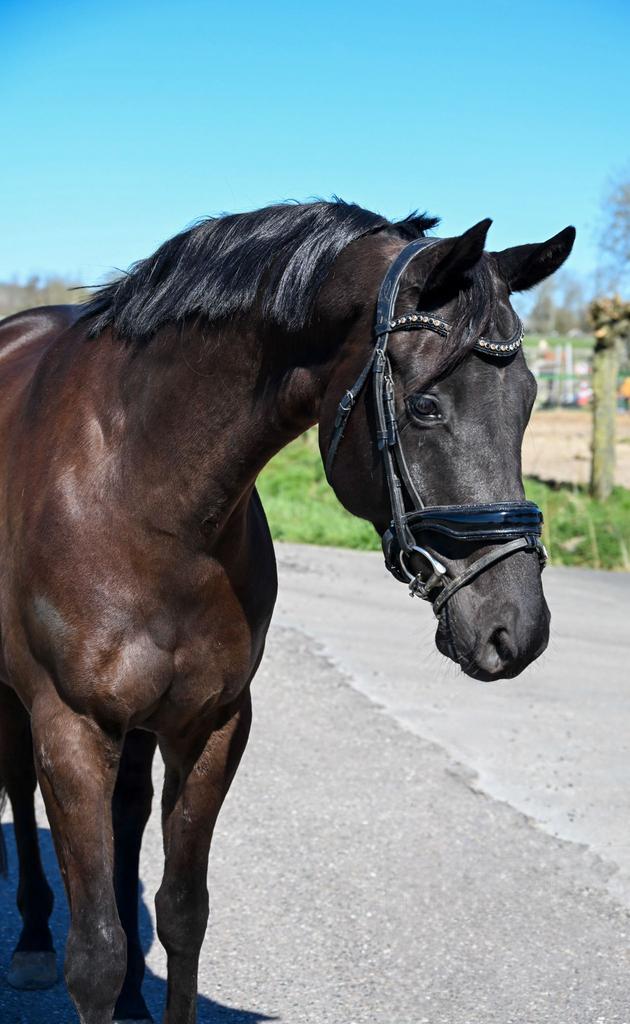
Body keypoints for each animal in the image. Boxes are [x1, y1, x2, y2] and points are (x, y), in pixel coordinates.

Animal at [0, 200, 574, 1024]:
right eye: (426, 406)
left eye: (528, 401)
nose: (517, 628)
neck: (144, 497)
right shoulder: (70, 728)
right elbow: (96, 957)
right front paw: (78, 957)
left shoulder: (211, 725)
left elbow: (182, 914)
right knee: (19, 785)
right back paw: (31, 943)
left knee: (128, 812)